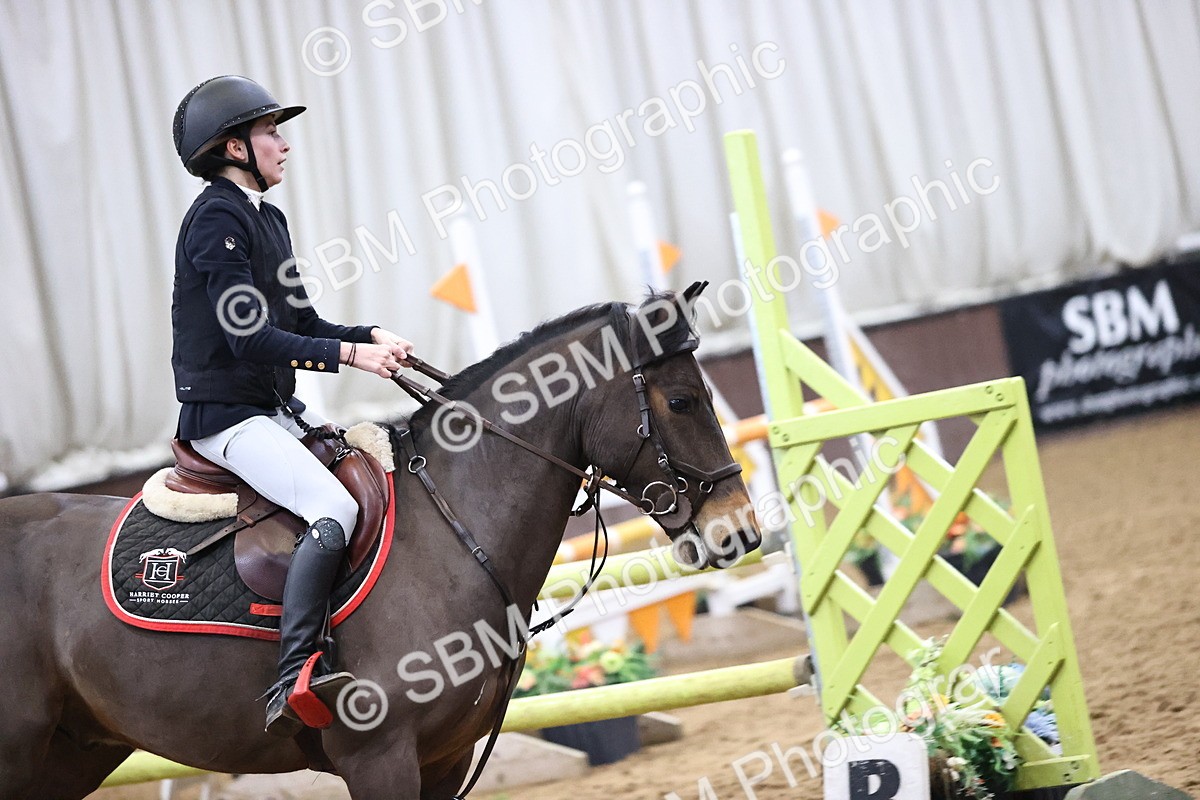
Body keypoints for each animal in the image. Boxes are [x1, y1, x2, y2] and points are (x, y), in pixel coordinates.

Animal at [0, 284, 761, 799]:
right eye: (682, 402)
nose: (741, 531)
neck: (451, 533)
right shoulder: (381, 758)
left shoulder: (444, 760)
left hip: (71, 750)